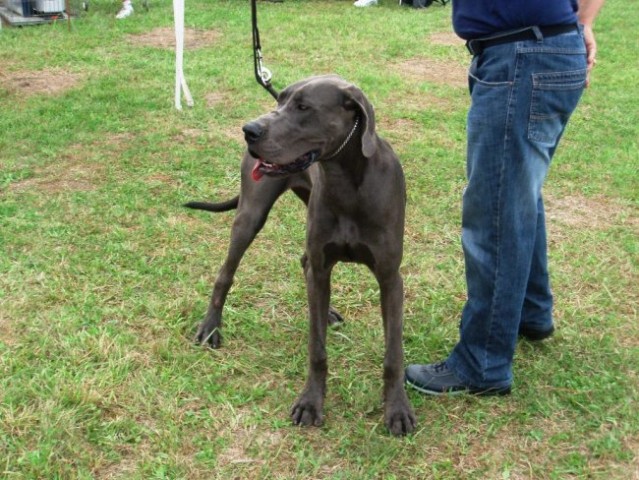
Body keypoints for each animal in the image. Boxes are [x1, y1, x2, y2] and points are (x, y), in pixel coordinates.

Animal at [186, 74, 416, 436]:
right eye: (280, 100)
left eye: (304, 107)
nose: (250, 130)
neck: (347, 181)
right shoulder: (323, 269)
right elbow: (316, 349)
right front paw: (311, 402)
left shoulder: (390, 278)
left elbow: (393, 354)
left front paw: (397, 410)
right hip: (251, 215)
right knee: (226, 274)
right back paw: (211, 327)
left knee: (304, 261)